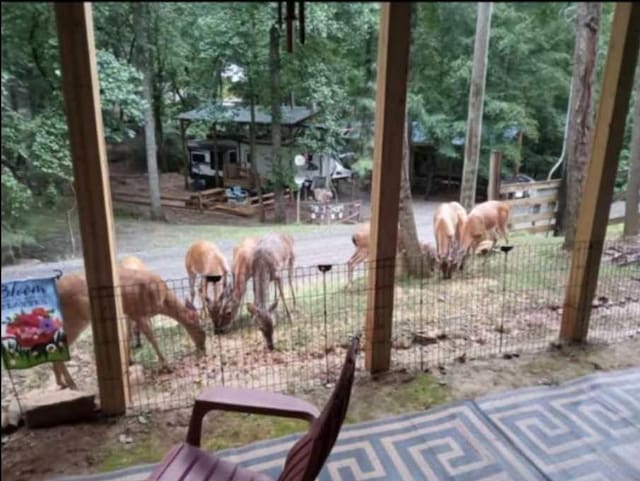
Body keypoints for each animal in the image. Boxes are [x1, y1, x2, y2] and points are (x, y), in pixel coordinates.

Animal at [54, 268, 208, 388]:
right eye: (202, 331)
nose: (203, 348)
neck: (162, 299)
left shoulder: (128, 314)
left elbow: (127, 336)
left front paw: (129, 361)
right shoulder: (138, 313)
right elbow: (152, 338)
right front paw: (167, 366)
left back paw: (61, 382)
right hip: (75, 319)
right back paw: (71, 383)